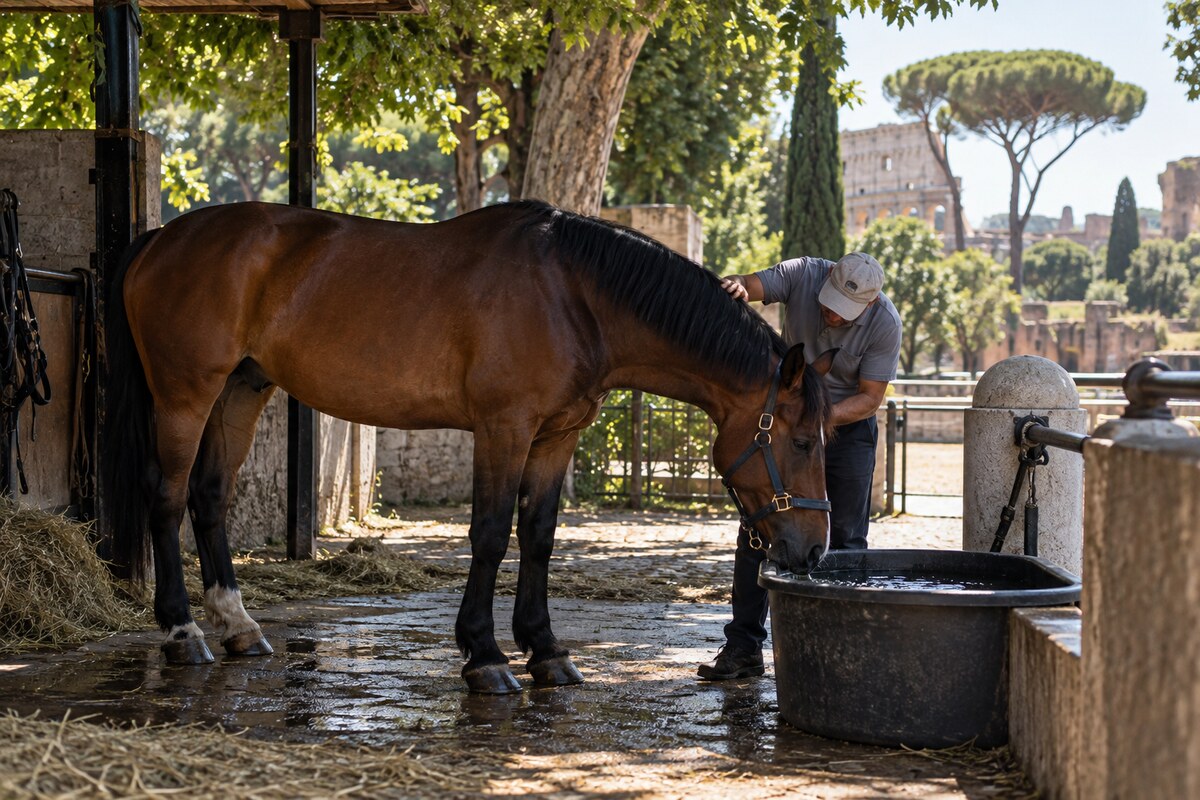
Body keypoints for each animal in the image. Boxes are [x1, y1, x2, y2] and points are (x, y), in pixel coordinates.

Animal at [103, 199, 835, 694]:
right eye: (801, 440)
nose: (812, 550)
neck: (574, 294)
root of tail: (162, 238)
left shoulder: (556, 436)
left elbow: (537, 535)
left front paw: (546, 650)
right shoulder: (504, 428)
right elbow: (489, 533)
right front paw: (484, 655)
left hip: (241, 391)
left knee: (209, 497)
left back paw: (238, 626)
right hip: (186, 395)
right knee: (166, 498)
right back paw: (182, 633)